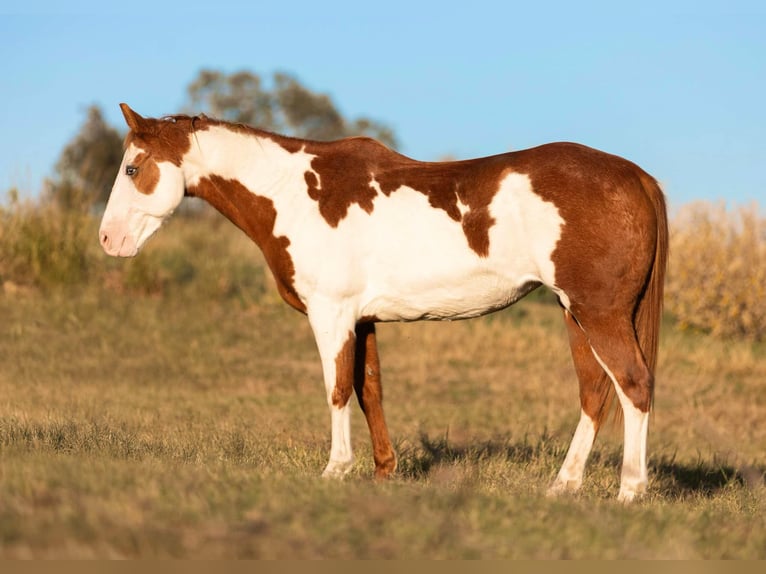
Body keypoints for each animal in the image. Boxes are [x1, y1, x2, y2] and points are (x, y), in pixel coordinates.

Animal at [100, 104, 664, 504]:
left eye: (131, 168)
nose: (108, 239)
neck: (293, 193)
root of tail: (635, 175)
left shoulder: (331, 314)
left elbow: (335, 390)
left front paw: (335, 470)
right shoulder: (364, 318)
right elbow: (368, 389)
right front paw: (382, 471)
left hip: (599, 313)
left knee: (633, 384)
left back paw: (629, 491)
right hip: (575, 313)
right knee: (595, 393)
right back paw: (563, 486)